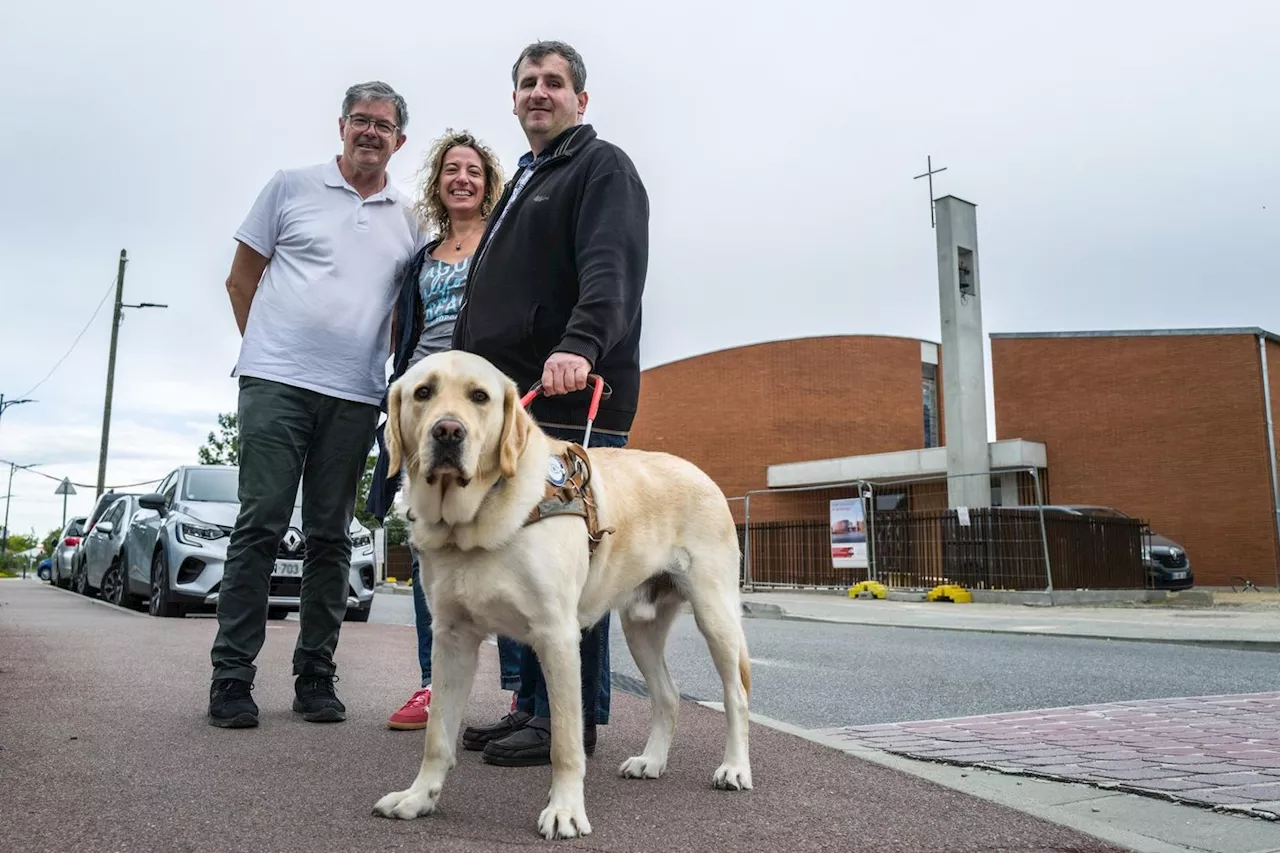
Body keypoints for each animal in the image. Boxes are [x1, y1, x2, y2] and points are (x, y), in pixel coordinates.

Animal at [371, 348, 747, 835]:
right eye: (423, 393)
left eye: (479, 397)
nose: (448, 431)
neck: (473, 525)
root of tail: (700, 472)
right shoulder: (452, 638)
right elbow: (437, 736)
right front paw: (418, 798)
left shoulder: (557, 636)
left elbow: (565, 743)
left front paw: (566, 810)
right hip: (641, 627)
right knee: (668, 695)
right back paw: (651, 761)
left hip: (715, 613)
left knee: (736, 695)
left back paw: (735, 768)